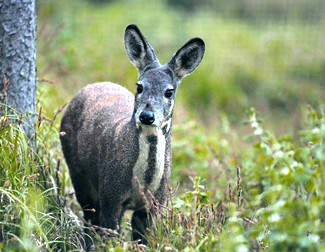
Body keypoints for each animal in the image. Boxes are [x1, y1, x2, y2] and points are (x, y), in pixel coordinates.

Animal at [59, 23, 204, 248]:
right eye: (140, 86)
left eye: (169, 91)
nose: (146, 116)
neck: (142, 182)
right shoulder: (111, 195)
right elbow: (109, 237)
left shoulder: (155, 204)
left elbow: (143, 242)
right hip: (79, 174)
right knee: (89, 219)